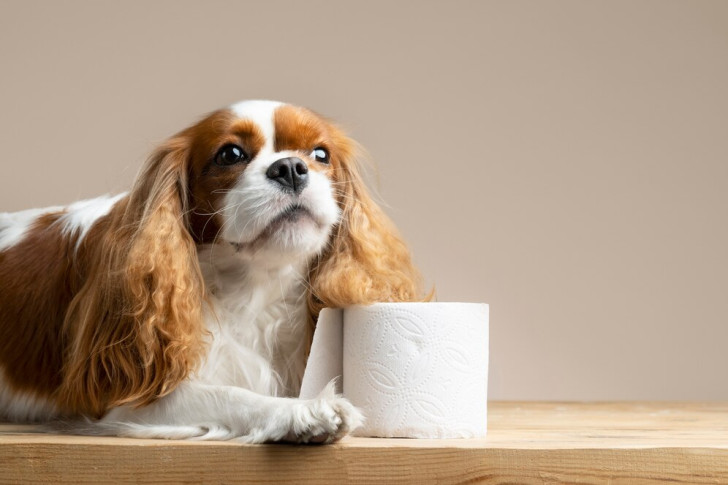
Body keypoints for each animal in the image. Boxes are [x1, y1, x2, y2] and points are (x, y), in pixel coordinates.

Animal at [0, 100, 420, 440]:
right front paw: (302, 411)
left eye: (320, 154)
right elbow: (231, 394)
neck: (254, 283)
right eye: (230, 154)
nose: (290, 167)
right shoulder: (127, 399)